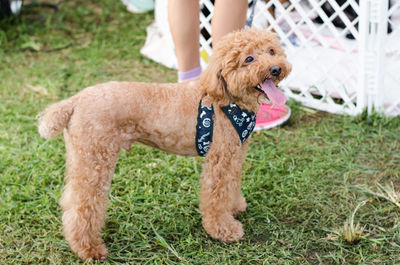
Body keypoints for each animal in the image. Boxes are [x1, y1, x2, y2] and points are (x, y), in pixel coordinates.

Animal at [38, 27, 290, 258]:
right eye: (248, 59)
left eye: (272, 51)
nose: (276, 69)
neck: (227, 100)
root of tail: (74, 101)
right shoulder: (219, 161)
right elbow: (216, 197)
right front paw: (223, 229)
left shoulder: (234, 156)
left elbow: (232, 185)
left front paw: (235, 207)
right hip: (95, 159)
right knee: (84, 207)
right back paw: (90, 249)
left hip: (81, 158)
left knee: (70, 200)